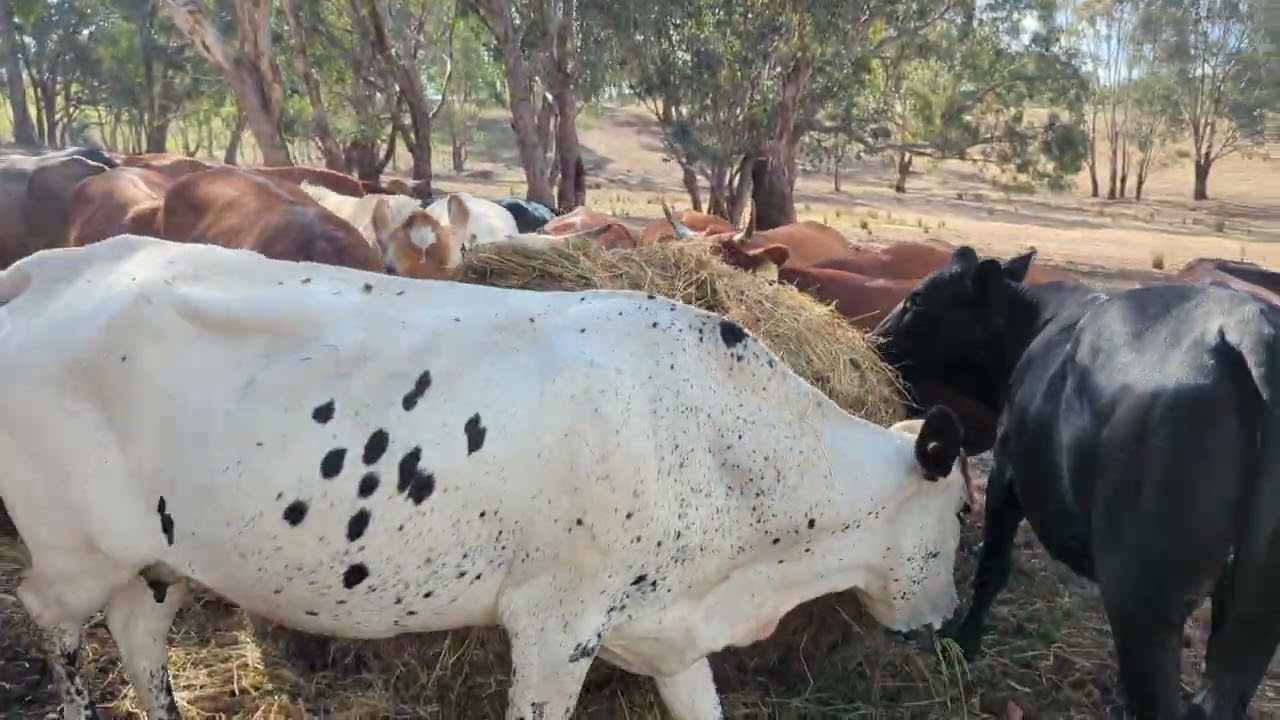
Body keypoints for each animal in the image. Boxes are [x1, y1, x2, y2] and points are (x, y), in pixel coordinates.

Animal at [1, 234, 972, 720]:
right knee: (52, 620)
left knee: (139, 641)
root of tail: (58, 264)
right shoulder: (553, 625)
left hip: (157, 559)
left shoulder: (667, 632)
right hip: (73, 551)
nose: (950, 618)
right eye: (960, 516)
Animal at [871, 245, 1280, 720]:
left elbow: (993, 564)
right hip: (1253, 615)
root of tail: (1250, 328)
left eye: (916, 299)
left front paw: (964, 641)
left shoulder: (1007, 474)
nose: (874, 338)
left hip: (1145, 598)